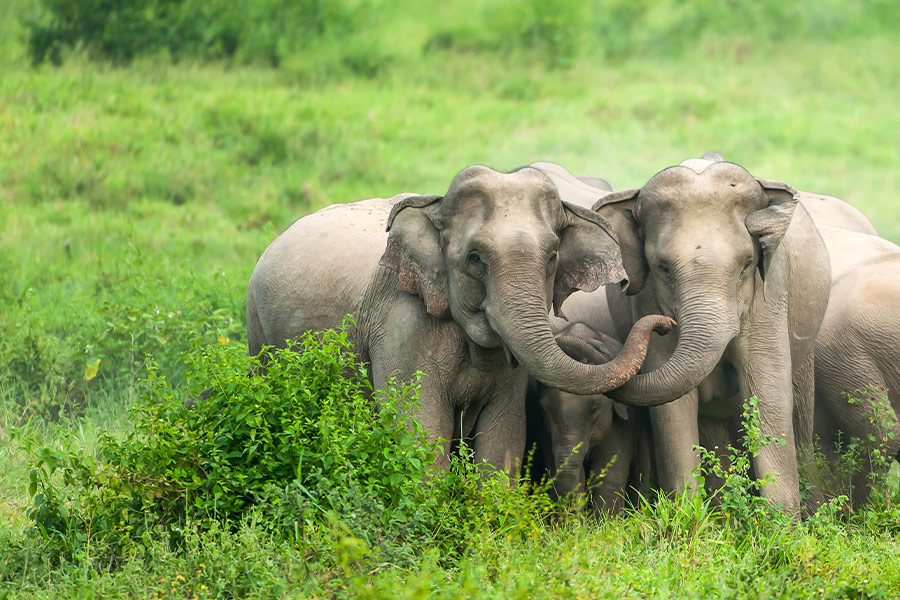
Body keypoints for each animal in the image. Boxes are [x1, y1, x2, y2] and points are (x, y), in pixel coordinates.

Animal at [246, 165, 674, 478]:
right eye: (475, 259)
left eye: (552, 256)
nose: (664, 323)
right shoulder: (402, 325)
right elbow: (420, 428)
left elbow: (503, 434)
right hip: (256, 328)